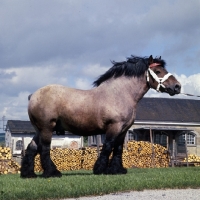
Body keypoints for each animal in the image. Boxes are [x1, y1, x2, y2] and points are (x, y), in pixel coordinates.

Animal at [20, 55, 181, 178]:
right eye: (158, 71)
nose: (177, 86)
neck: (120, 93)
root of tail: (32, 96)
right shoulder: (113, 127)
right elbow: (108, 146)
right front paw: (100, 169)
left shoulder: (123, 130)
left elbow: (118, 149)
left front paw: (117, 170)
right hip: (47, 128)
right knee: (44, 149)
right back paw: (52, 173)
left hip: (39, 130)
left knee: (32, 148)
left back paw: (29, 174)